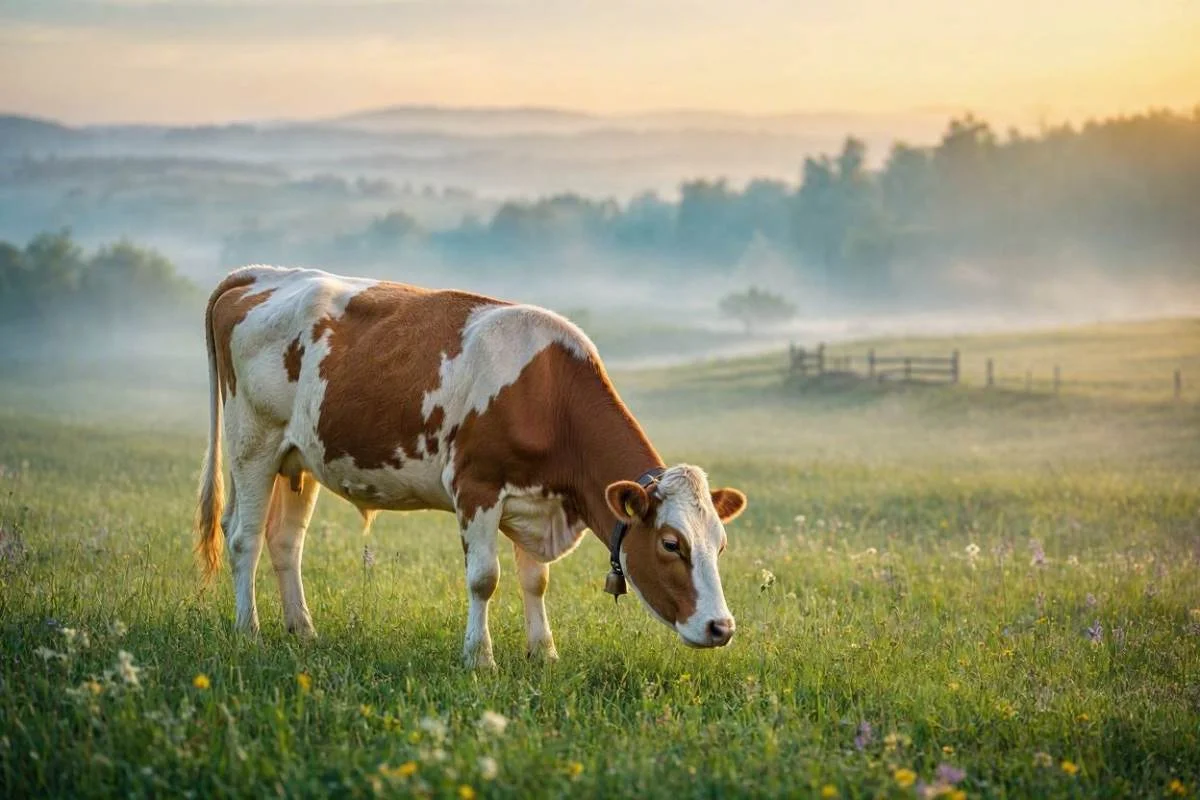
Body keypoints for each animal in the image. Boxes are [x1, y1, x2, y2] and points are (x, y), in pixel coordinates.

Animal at [194, 266, 746, 667]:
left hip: (300, 460)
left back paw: (303, 630)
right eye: (671, 544)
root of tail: (263, 274)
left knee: (286, 541)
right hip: (253, 443)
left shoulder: (537, 499)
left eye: (720, 545)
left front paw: (543, 653)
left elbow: (535, 580)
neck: (548, 394)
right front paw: (479, 658)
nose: (721, 627)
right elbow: (485, 578)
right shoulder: (476, 486)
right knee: (243, 537)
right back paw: (249, 631)